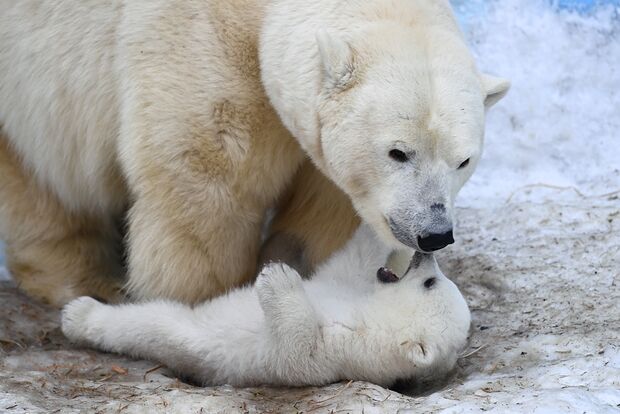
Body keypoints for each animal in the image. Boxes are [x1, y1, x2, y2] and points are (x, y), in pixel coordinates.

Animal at [0, 0, 506, 304]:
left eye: (463, 161)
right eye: (398, 152)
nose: (434, 233)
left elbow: (328, 207)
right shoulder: (203, 49)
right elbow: (209, 185)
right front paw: (204, 302)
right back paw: (90, 280)